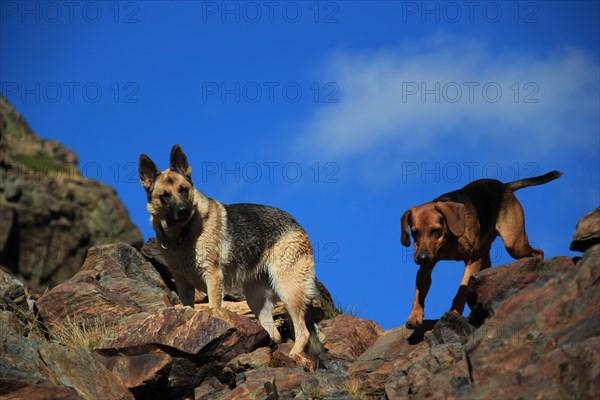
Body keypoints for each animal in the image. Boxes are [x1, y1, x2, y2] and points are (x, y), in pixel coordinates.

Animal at [400, 170, 560, 330]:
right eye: (415, 232)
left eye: (435, 230)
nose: (421, 258)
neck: (449, 240)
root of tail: (504, 186)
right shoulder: (425, 268)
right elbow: (418, 294)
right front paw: (414, 316)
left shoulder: (473, 260)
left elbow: (462, 289)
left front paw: (454, 311)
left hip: (514, 243)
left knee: (538, 252)